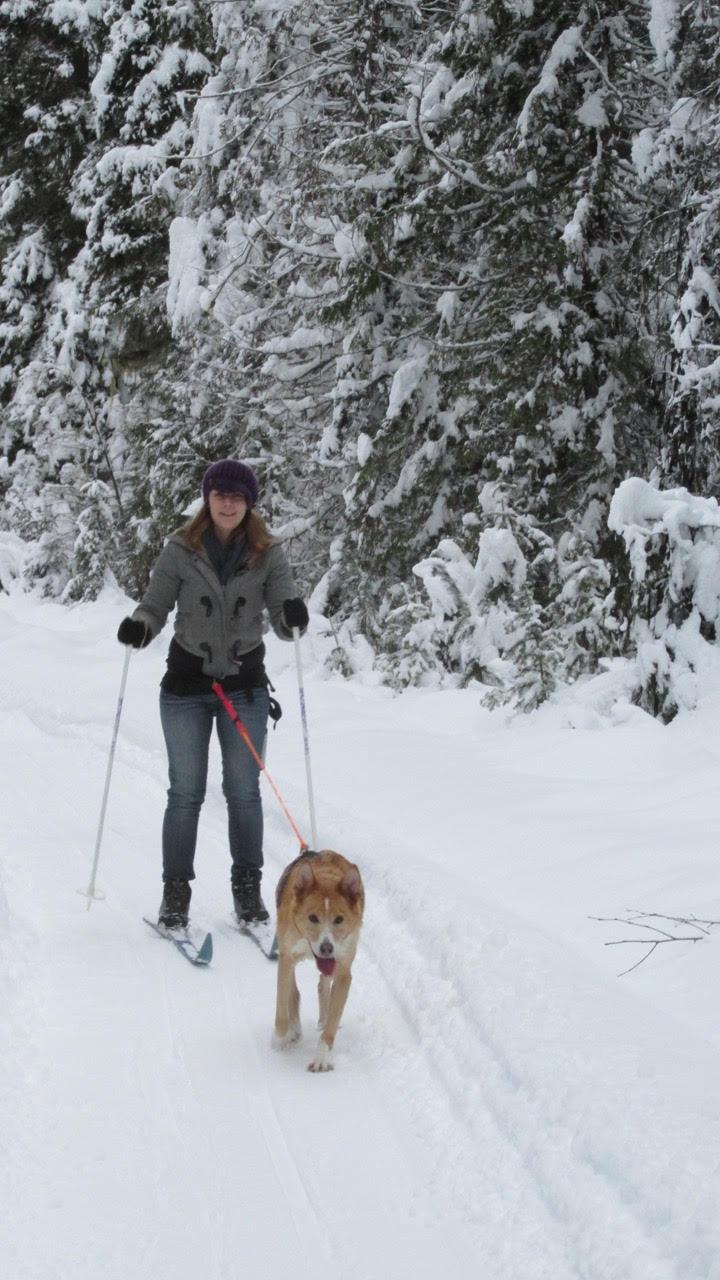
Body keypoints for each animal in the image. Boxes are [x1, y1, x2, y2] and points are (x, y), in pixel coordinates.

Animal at [274, 849, 363, 1070]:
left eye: (339, 919)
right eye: (312, 917)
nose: (326, 948)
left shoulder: (343, 970)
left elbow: (332, 1020)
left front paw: (321, 1058)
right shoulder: (286, 957)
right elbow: (282, 1008)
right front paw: (279, 1042)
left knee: (323, 986)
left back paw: (322, 1018)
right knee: (294, 993)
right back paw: (294, 1029)